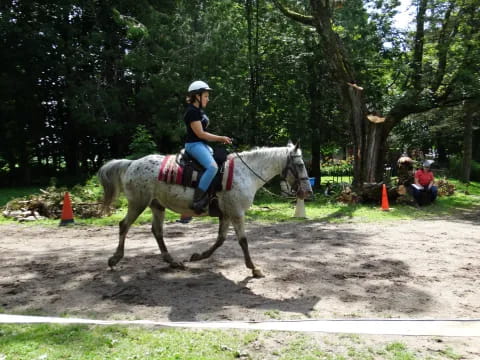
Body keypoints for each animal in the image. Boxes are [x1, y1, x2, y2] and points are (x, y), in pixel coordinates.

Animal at [99, 142, 314, 278]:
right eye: (300, 164)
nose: (308, 191)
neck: (244, 173)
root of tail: (132, 163)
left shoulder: (226, 214)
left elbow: (220, 240)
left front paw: (198, 256)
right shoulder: (237, 213)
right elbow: (243, 241)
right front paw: (254, 268)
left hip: (157, 205)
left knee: (157, 231)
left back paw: (173, 261)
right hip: (138, 203)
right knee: (124, 225)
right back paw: (114, 259)